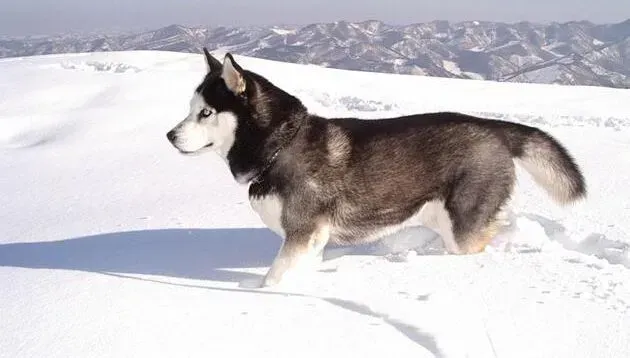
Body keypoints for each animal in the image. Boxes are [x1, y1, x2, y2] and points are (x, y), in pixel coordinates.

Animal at [167, 48, 588, 288]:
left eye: (206, 113)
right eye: (190, 109)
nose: (169, 135)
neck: (280, 147)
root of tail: (492, 127)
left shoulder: (302, 234)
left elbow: (272, 280)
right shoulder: (312, 242)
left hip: (462, 223)